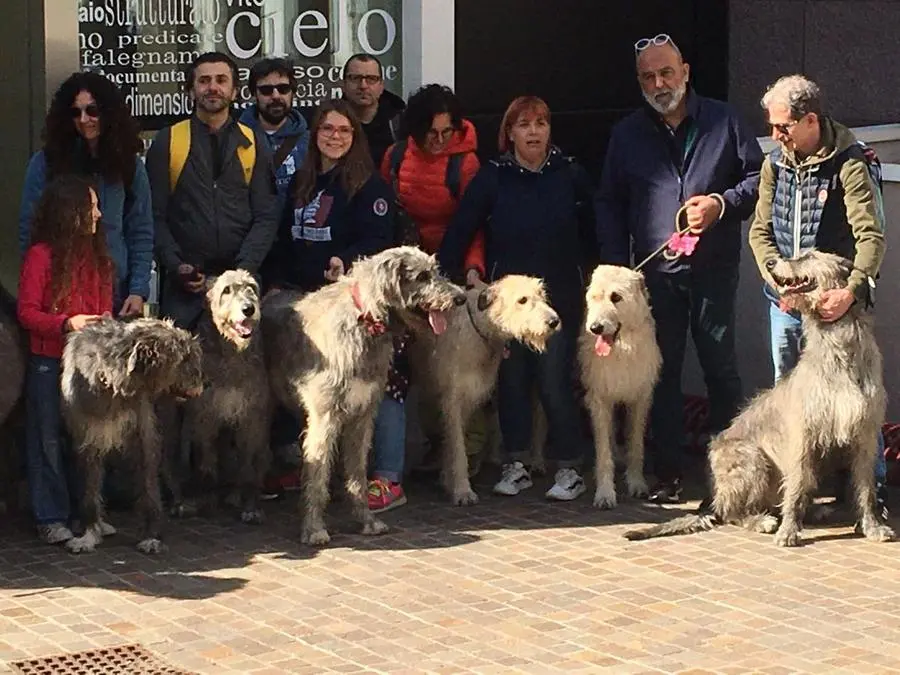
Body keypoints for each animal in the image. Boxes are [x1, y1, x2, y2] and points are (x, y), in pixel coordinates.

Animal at [62, 316, 204, 556]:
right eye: (184, 357)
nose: (205, 382)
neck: (112, 385)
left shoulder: (144, 434)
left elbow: (149, 485)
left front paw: (151, 536)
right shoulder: (88, 439)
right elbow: (90, 489)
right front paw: (89, 535)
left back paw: (179, 502)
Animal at [179, 270, 270, 524]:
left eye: (251, 287)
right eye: (226, 290)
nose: (249, 309)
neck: (232, 353)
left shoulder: (251, 417)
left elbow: (248, 465)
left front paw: (250, 506)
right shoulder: (205, 416)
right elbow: (206, 465)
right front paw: (207, 501)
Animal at [262, 246, 464, 548]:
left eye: (435, 270)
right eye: (422, 276)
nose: (460, 297)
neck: (364, 321)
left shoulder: (363, 414)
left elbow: (356, 471)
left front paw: (366, 520)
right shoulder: (325, 417)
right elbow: (317, 475)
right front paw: (314, 528)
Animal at [576, 264, 660, 508]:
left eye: (616, 297)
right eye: (595, 297)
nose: (595, 328)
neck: (622, 349)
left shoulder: (640, 399)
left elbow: (636, 445)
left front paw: (637, 483)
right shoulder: (599, 400)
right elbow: (604, 451)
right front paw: (605, 493)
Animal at [624, 251, 892, 548]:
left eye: (808, 255)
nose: (771, 262)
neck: (838, 349)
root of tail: (713, 499)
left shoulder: (864, 434)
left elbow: (866, 487)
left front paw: (872, 526)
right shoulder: (803, 435)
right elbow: (796, 485)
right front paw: (788, 531)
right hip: (751, 458)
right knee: (733, 513)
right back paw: (761, 520)